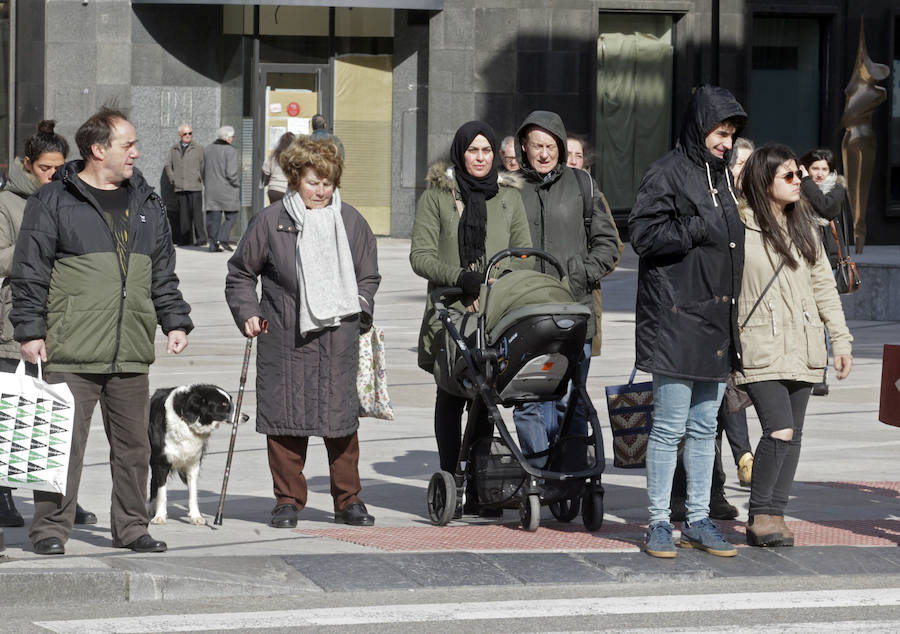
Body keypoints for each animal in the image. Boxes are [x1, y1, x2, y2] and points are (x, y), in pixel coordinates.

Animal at [149, 386, 244, 524]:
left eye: (230, 401)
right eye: (224, 404)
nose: (246, 417)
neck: (187, 419)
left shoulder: (193, 463)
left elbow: (193, 493)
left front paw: (196, 516)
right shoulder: (161, 463)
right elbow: (162, 493)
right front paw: (160, 516)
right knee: (153, 482)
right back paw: (152, 509)